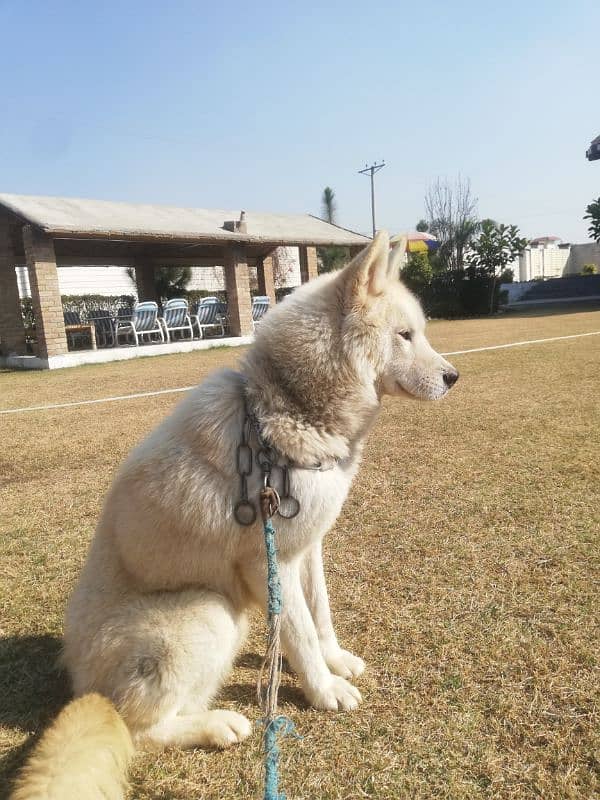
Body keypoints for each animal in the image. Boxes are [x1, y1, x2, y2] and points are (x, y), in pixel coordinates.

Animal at [10, 231, 460, 800]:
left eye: (419, 331)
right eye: (405, 335)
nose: (454, 377)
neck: (283, 409)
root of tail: (82, 686)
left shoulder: (306, 550)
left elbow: (320, 615)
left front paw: (335, 661)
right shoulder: (267, 561)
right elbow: (300, 631)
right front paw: (324, 690)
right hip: (209, 613)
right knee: (138, 730)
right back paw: (217, 724)